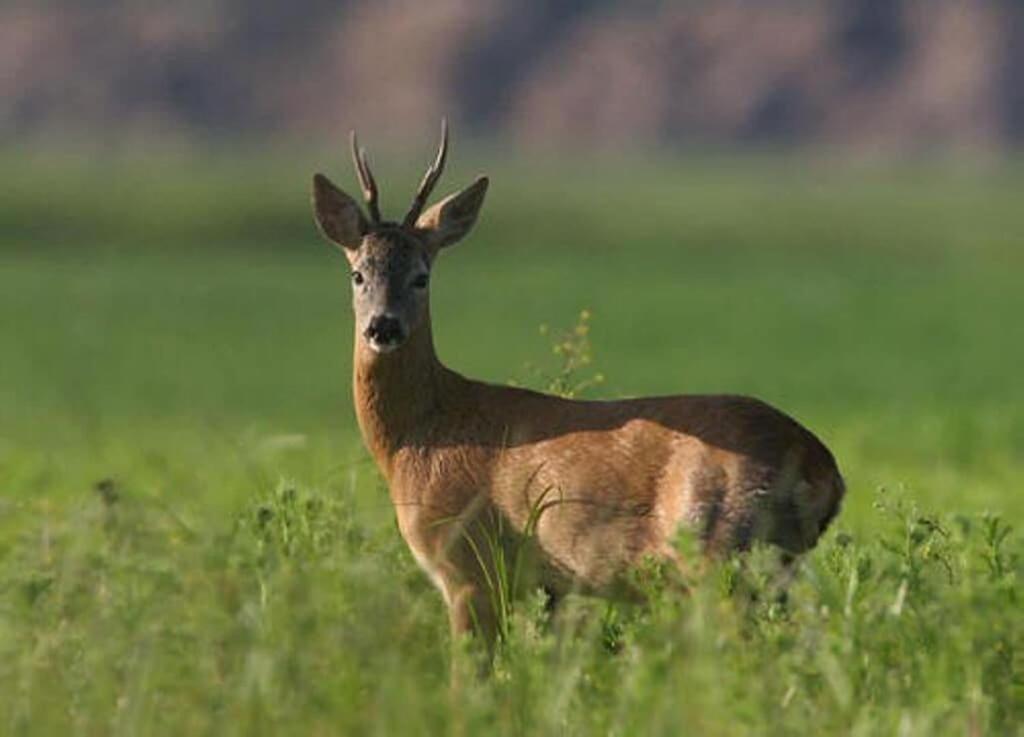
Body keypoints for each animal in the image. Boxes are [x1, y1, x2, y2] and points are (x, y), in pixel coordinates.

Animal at [311, 123, 847, 655]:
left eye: (421, 276)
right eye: (357, 274)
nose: (383, 326)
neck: (423, 434)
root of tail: (822, 467)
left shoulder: (468, 568)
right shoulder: (551, 588)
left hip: (719, 550)